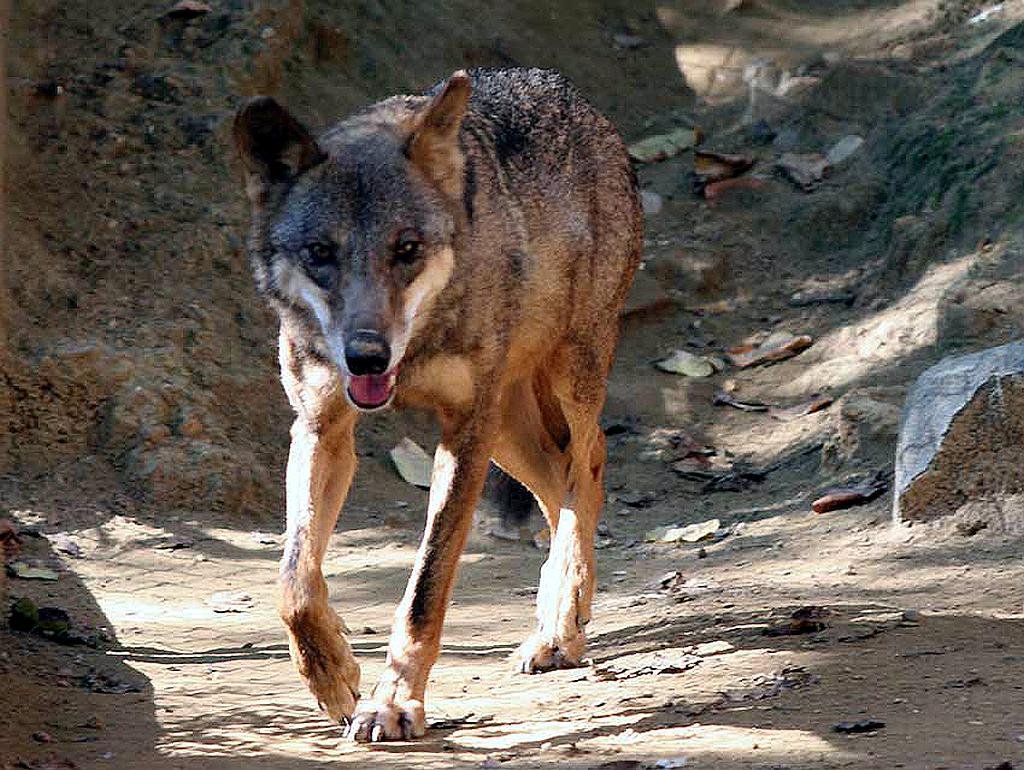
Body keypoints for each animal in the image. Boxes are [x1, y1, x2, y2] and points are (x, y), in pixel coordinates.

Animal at [235, 69, 643, 741]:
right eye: (320, 253)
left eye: (407, 248)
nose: (366, 357)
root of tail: (565, 90)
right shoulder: (322, 426)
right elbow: (294, 580)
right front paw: (331, 677)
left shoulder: (463, 431)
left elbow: (425, 586)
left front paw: (393, 702)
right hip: (507, 428)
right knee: (558, 480)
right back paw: (559, 621)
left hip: (564, 377)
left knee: (589, 465)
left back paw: (560, 621)